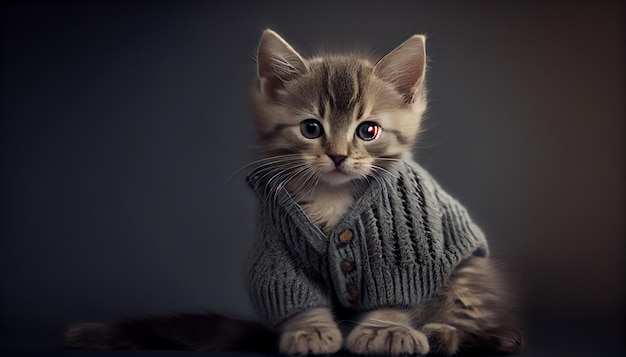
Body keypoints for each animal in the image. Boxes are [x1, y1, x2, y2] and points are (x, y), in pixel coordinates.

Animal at [63, 29, 520, 354]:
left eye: (368, 131)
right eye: (311, 128)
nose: (337, 156)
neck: (335, 197)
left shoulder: (405, 249)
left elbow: (397, 288)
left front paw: (386, 328)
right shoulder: (275, 246)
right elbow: (291, 290)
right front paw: (310, 331)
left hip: (469, 274)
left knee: (472, 313)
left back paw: (448, 333)